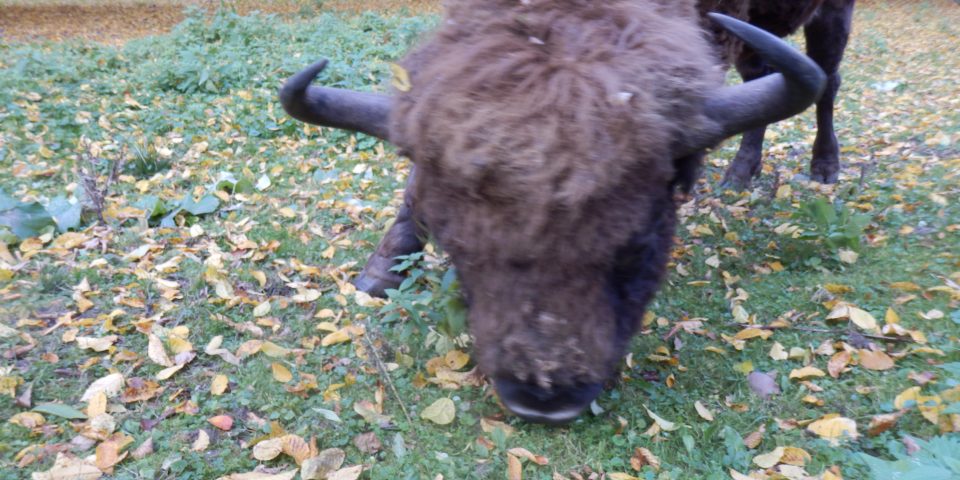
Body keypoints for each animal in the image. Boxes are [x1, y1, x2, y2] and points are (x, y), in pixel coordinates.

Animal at [278, 0, 824, 422]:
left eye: (638, 244)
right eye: (460, 248)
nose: (545, 399)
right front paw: (380, 273)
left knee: (828, 81)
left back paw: (815, 170)